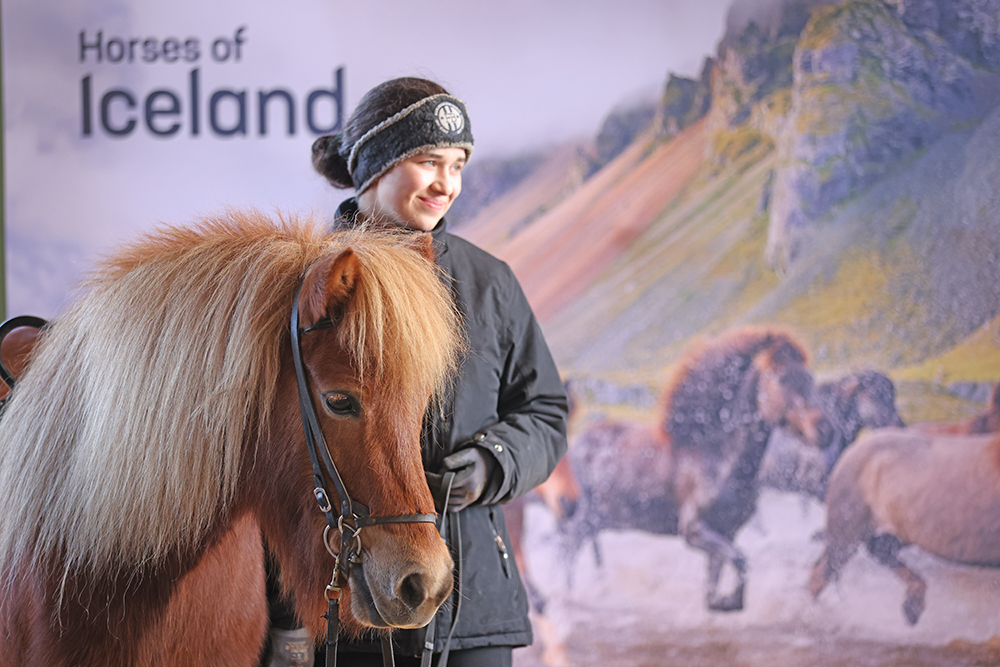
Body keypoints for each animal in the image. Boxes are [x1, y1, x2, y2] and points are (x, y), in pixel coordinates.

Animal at [564, 326, 836, 612]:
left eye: (809, 376)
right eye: (781, 378)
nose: (825, 430)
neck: (718, 457)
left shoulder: (725, 532)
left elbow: (718, 577)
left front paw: (720, 602)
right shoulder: (692, 530)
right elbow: (740, 561)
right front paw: (729, 601)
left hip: (598, 521)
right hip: (581, 519)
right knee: (567, 553)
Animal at [808, 428, 1000, 628]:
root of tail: (851, 451)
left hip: (898, 533)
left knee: (876, 550)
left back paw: (912, 606)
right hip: (846, 534)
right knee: (820, 576)